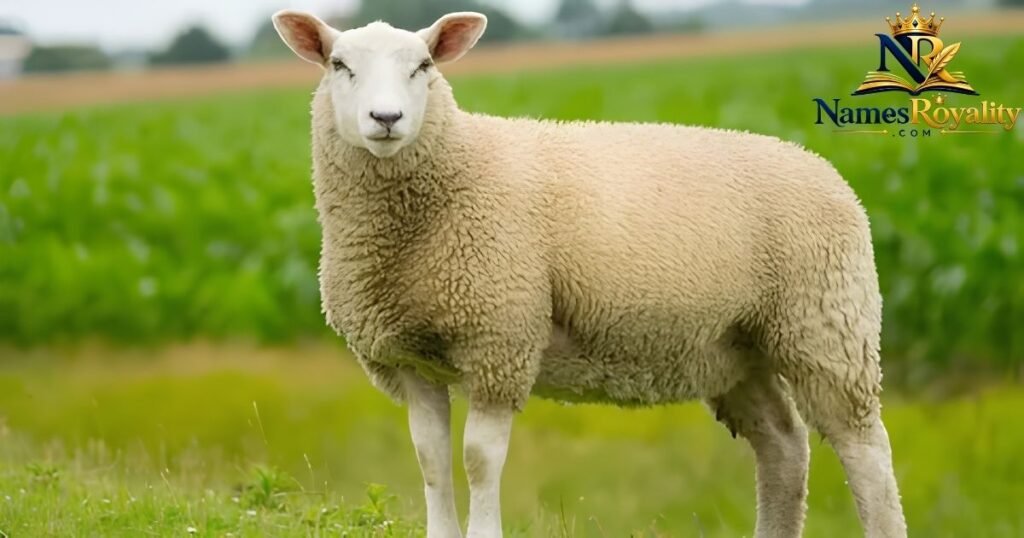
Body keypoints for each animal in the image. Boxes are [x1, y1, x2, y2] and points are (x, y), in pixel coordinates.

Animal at [271, 10, 908, 538]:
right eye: (339, 65)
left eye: (423, 65)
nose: (386, 118)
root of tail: (827, 171)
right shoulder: (410, 357)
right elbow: (430, 457)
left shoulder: (501, 338)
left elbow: (478, 458)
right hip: (734, 346)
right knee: (784, 445)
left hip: (825, 327)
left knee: (866, 451)